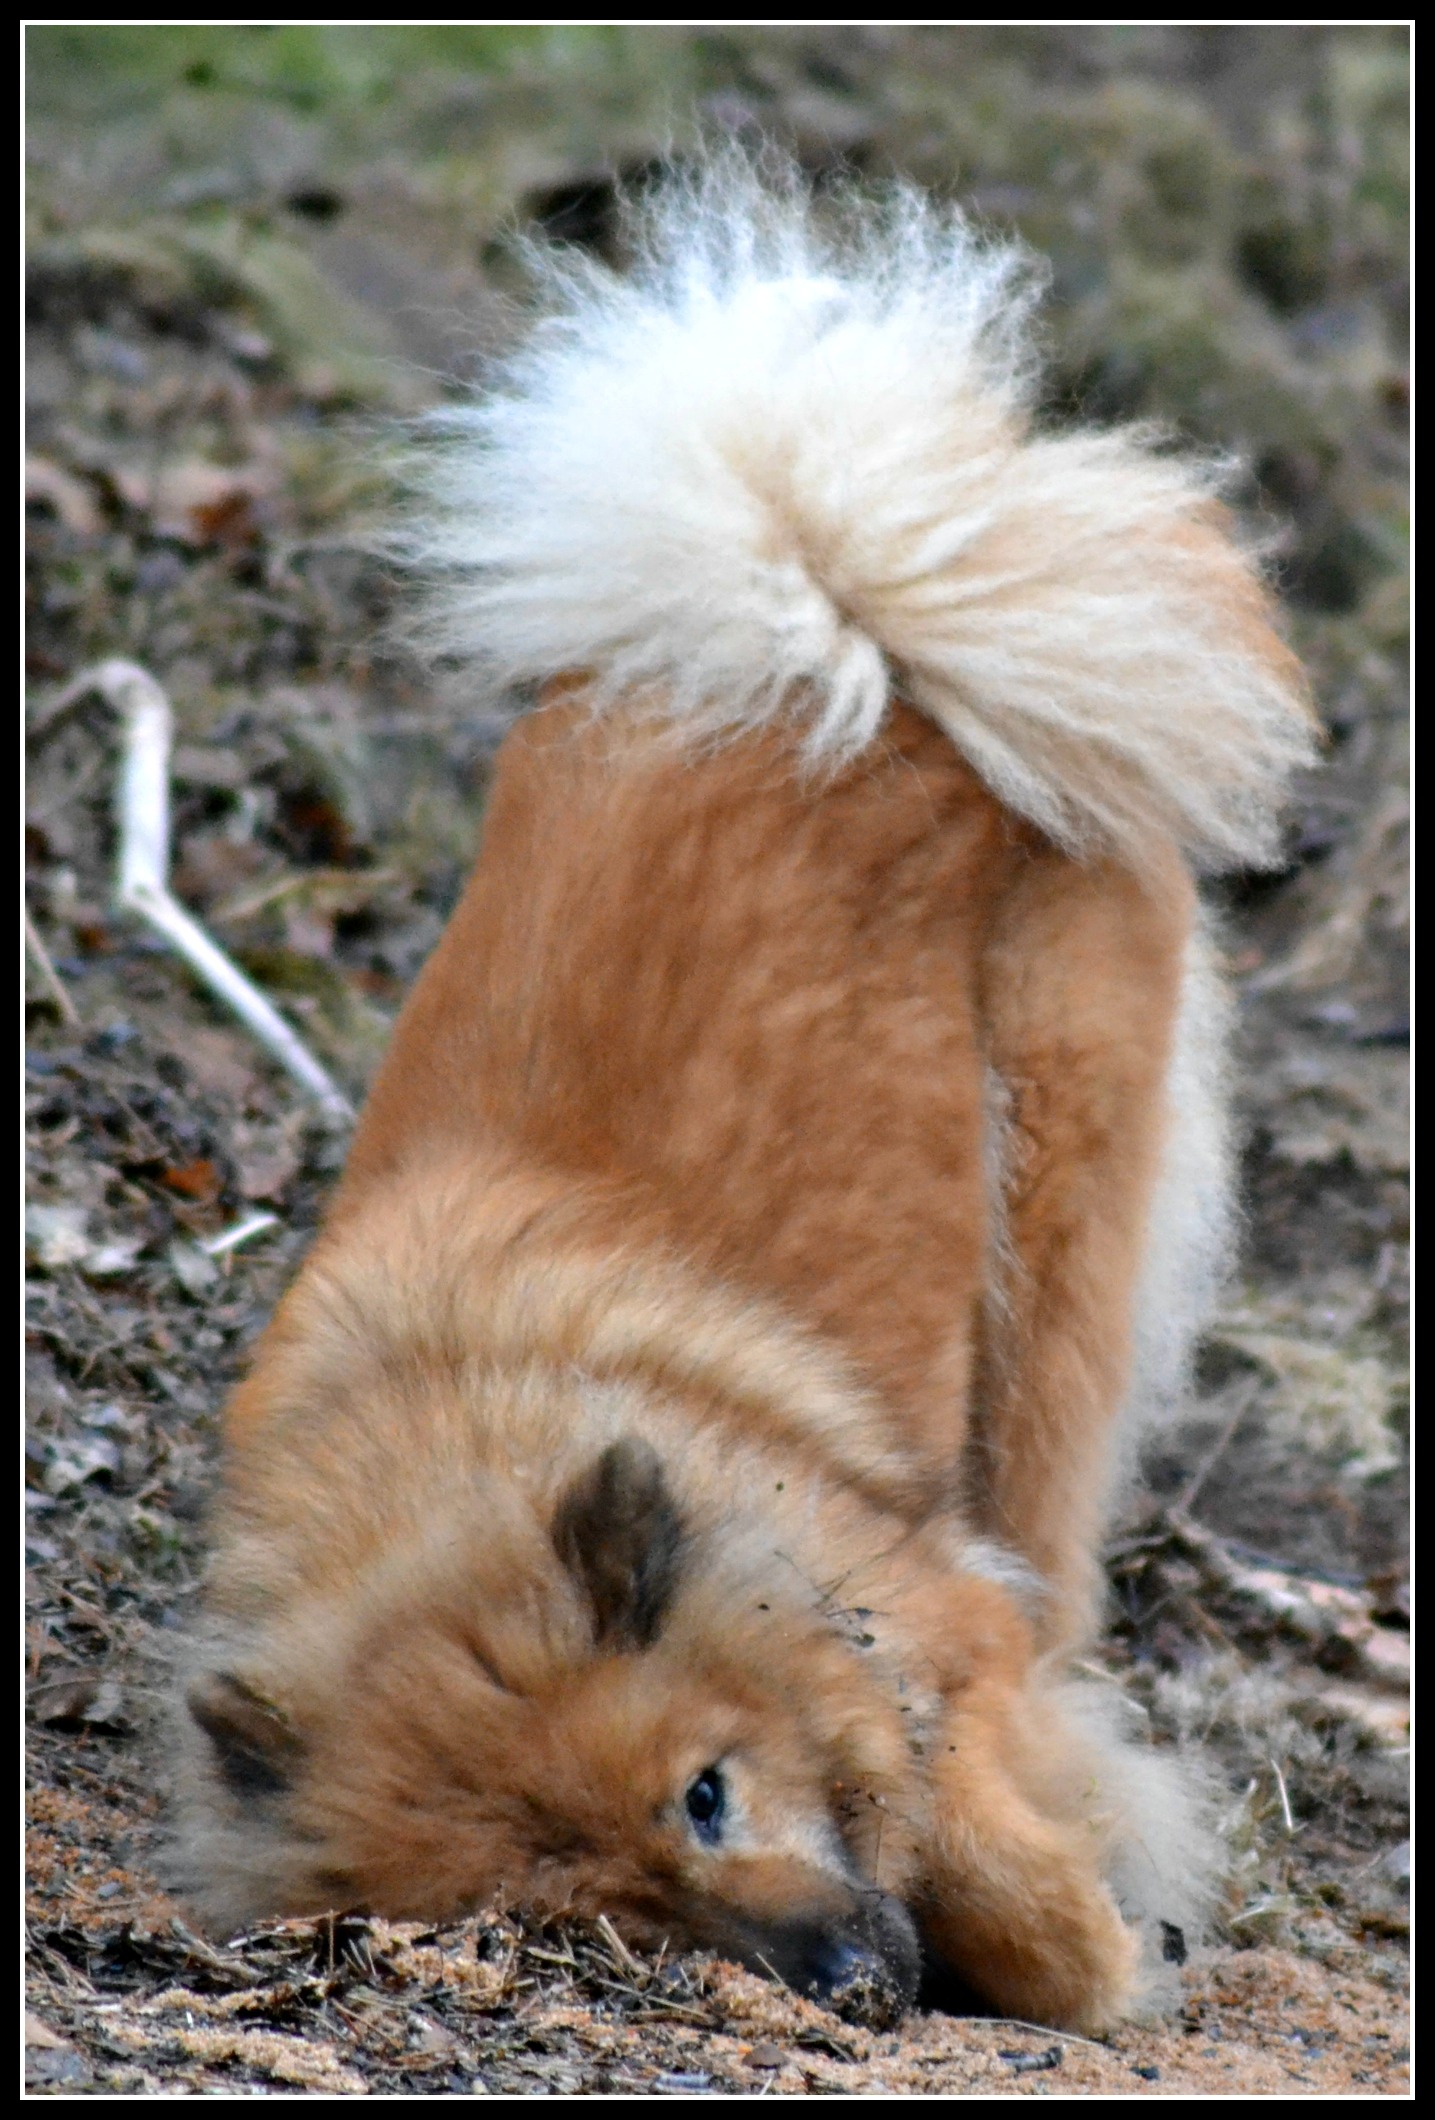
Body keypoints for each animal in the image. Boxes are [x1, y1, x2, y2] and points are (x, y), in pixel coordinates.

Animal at [171, 155, 1316, 2033]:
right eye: (595, 1928)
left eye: (704, 1795)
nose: (840, 1978)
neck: (470, 1425)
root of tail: (836, 628)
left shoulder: (936, 1620)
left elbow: (1001, 1845)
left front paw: (1091, 1923)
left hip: (1052, 1272)